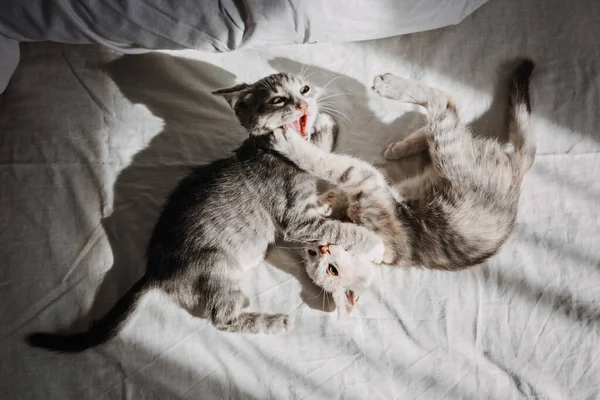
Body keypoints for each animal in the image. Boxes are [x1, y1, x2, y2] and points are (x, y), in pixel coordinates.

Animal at [25, 72, 382, 354]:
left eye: (305, 89)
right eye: (279, 99)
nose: (304, 102)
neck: (269, 151)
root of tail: (156, 271)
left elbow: (318, 159)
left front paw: (325, 128)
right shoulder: (296, 220)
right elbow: (335, 227)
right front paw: (372, 242)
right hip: (216, 264)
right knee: (221, 319)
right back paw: (272, 322)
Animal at [274, 61, 536, 318]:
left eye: (332, 269)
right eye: (312, 255)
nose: (322, 247)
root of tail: (518, 169)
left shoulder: (365, 179)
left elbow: (325, 164)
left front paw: (293, 148)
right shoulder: (367, 185)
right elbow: (338, 189)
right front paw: (324, 204)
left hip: (451, 156)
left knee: (442, 101)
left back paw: (389, 87)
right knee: (444, 119)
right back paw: (402, 146)